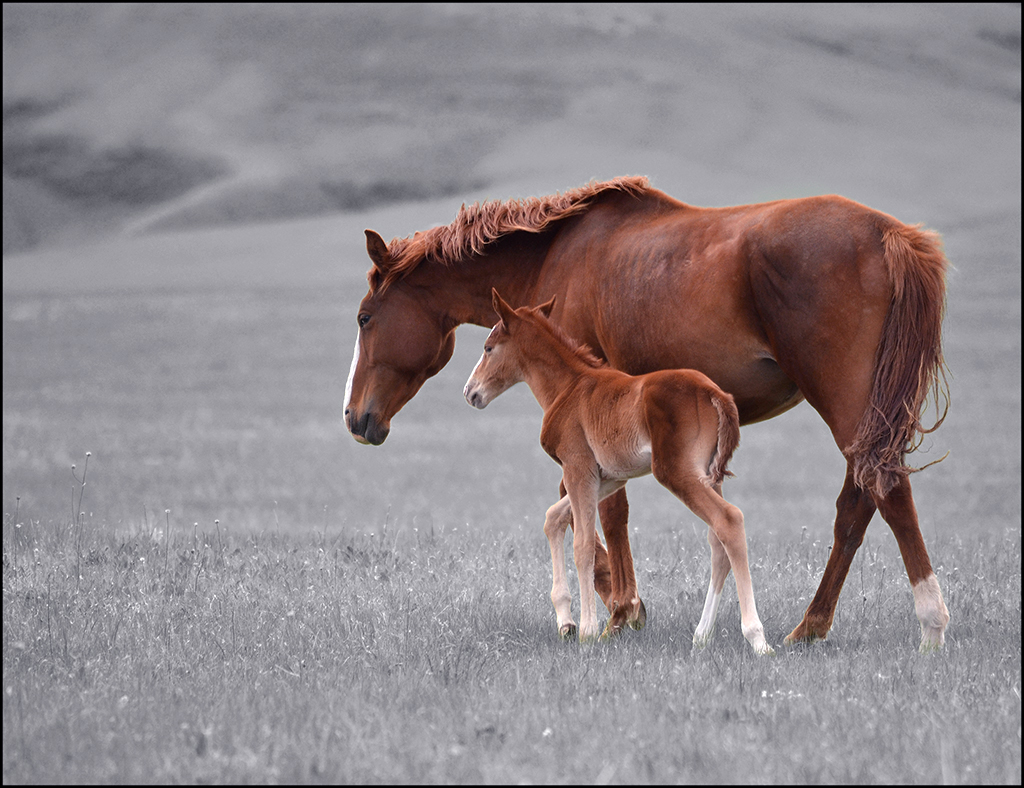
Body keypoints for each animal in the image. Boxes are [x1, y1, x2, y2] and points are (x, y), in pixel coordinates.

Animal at [346, 178, 950, 650]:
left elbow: (602, 514)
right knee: (856, 504)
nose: (355, 419)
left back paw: (928, 621)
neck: (555, 255)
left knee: (885, 491)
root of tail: (890, 235)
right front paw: (608, 603)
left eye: (365, 318)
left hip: (846, 403)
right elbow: (583, 509)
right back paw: (812, 625)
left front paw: (616, 608)